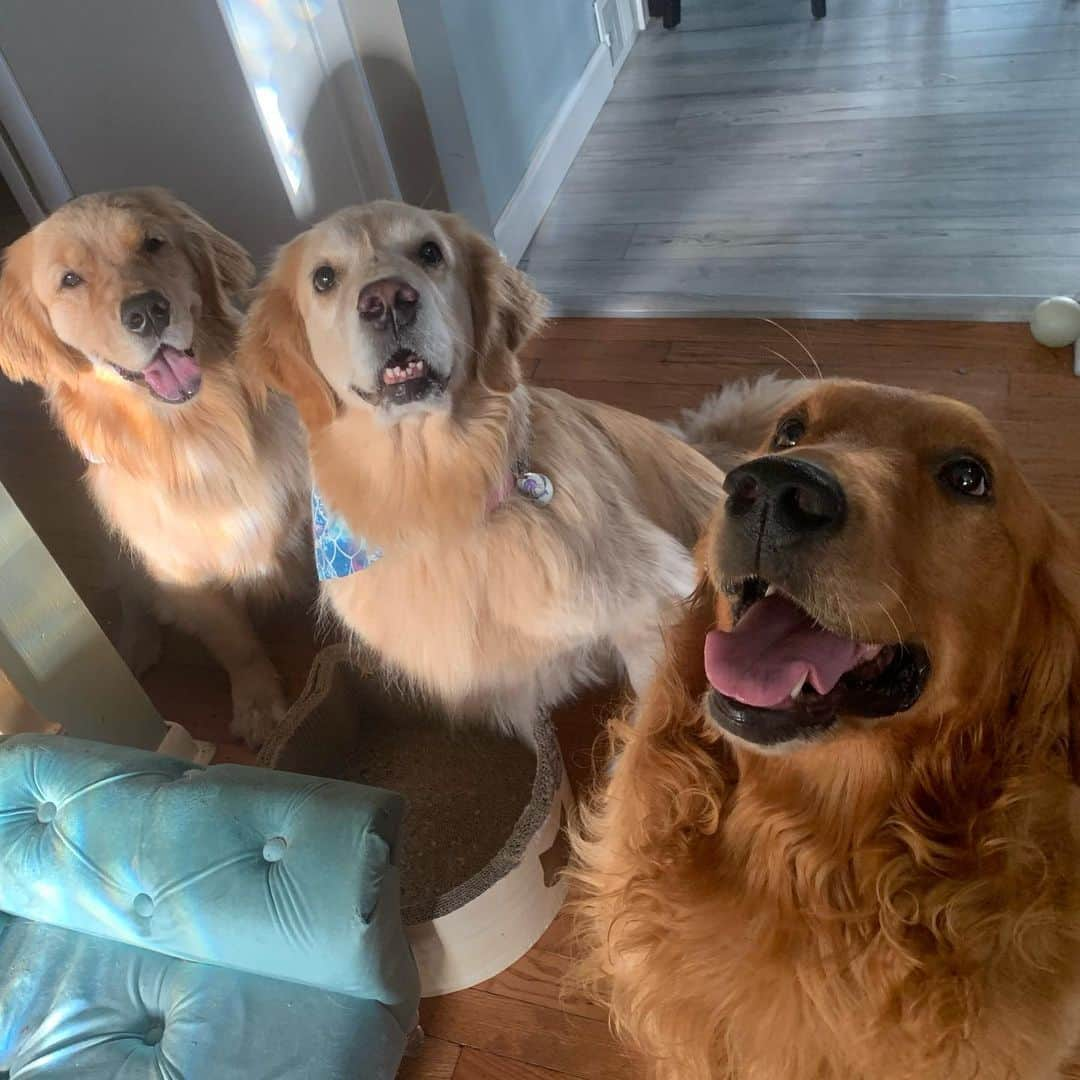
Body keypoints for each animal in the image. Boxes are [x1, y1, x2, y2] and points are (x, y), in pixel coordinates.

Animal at [0, 190, 308, 747]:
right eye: (70, 279)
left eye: (153, 243)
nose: (147, 310)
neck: (195, 431)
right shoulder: (182, 573)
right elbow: (237, 645)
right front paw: (258, 705)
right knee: (132, 596)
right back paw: (135, 644)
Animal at [236, 198, 743, 730]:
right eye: (324, 278)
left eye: (430, 252)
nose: (388, 300)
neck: (432, 497)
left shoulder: (654, 605)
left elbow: (642, 730)